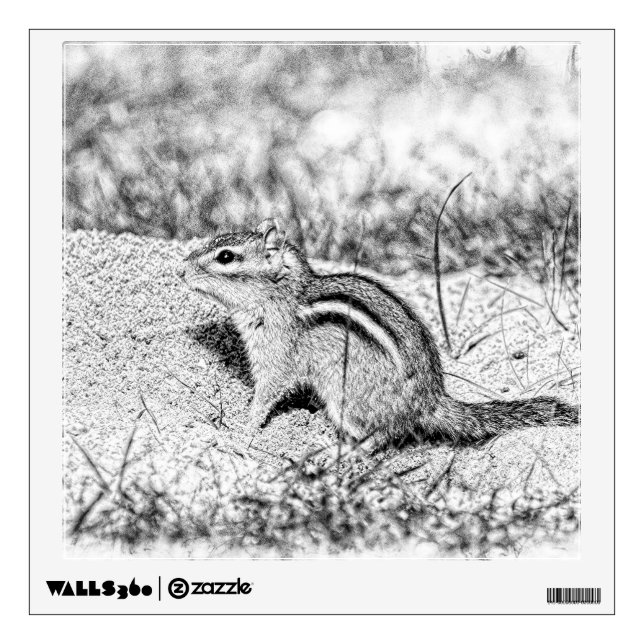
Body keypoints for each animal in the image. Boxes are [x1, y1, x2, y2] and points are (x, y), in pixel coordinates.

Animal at [179, 218, 579, 456]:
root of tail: (430, 402)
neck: (283, 295)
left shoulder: (277, 356)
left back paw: (341, 454)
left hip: (345, 397)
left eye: (226, 256)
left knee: (385, 435)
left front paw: (242, 428)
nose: (181, 271)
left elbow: (266, 395)